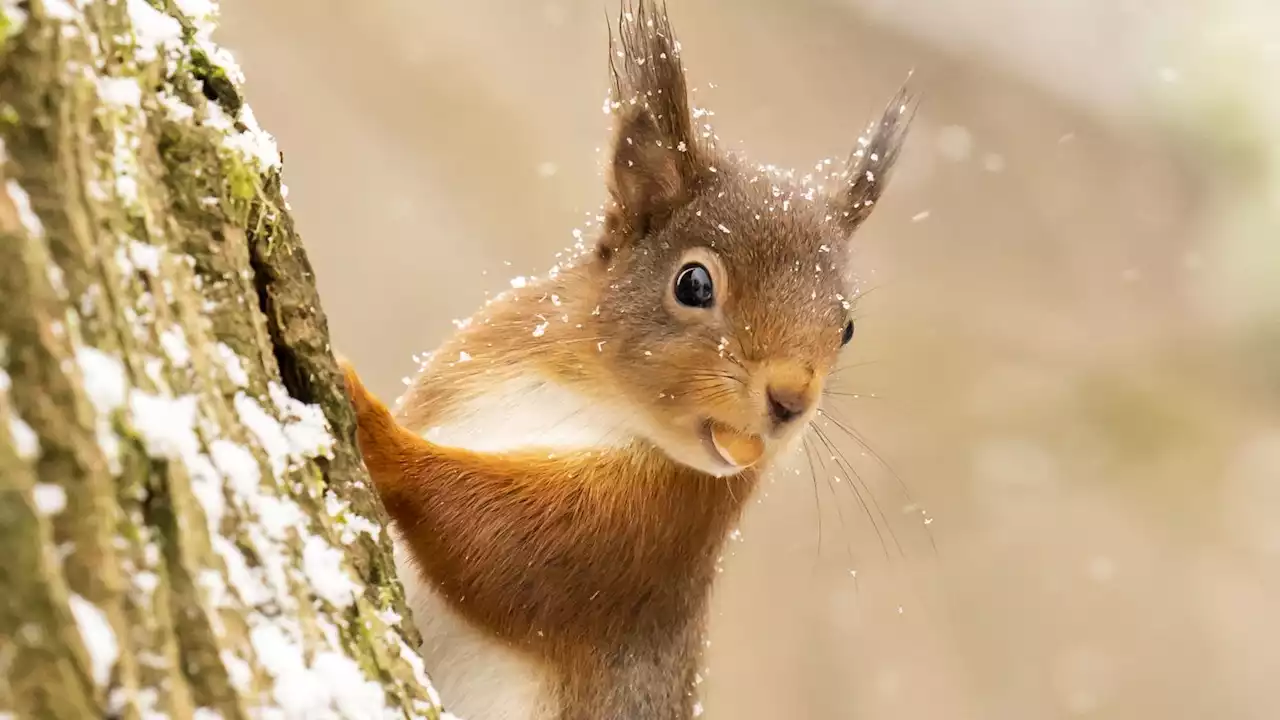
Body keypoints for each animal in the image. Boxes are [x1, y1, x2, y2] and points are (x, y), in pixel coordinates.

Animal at [340, 2, 911, 712]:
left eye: (847, 327)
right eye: (693, 284)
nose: (791, 399)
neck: (589, 393)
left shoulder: (650, 538)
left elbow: (504, 545)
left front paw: (371, 421)